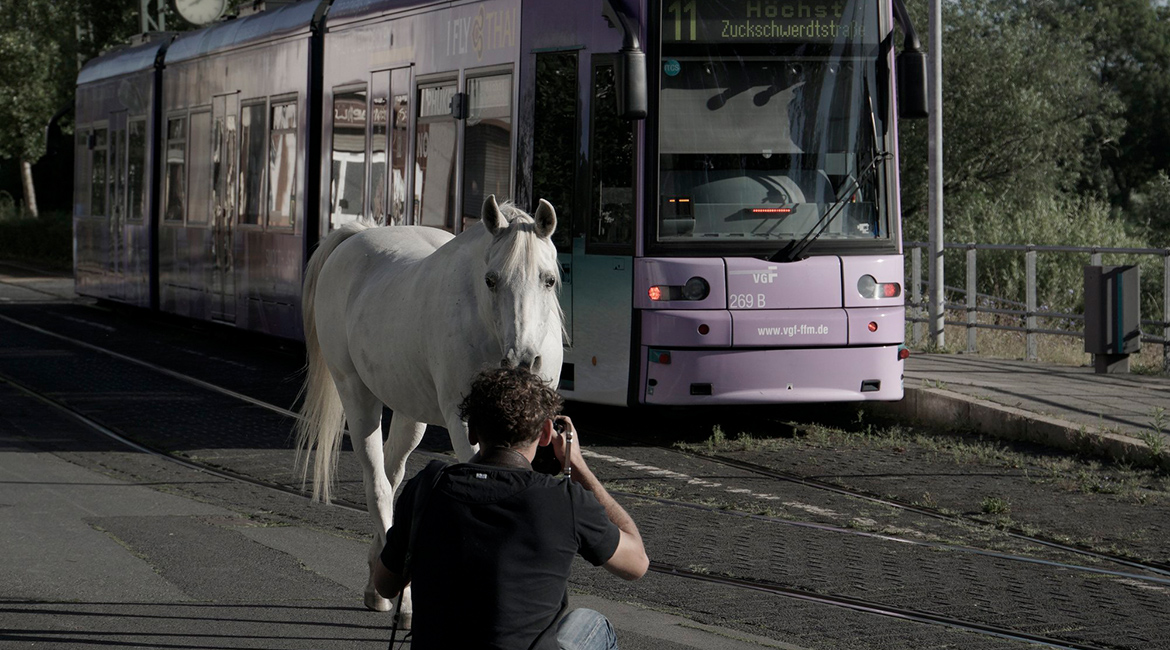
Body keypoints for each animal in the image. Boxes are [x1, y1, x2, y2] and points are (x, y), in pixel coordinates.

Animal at [294, 195, 563, 617]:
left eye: (548, 279)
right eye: (491, 279)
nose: (522, 361)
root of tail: (357, 236)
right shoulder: (465, 426)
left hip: (410, 414)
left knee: (392, 476)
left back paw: (378, 584)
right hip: (357, 396)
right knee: (378, 485)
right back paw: (401, 601)